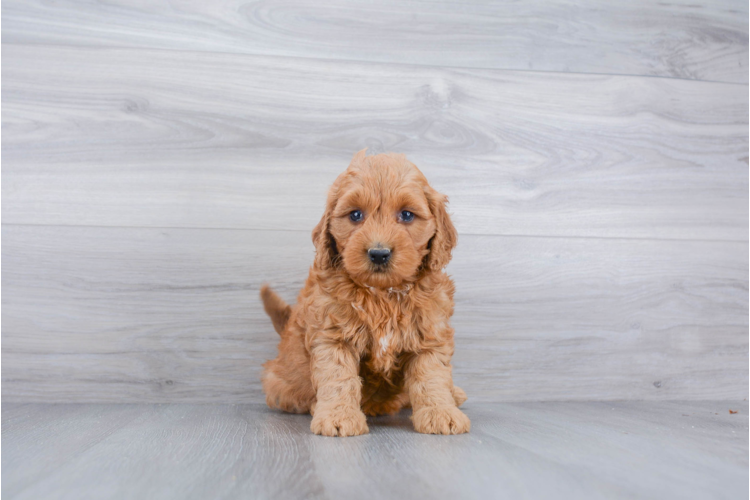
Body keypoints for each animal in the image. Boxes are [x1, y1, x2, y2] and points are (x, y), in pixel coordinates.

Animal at [260, 150, 470, 436]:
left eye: (407, 215)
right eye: (356, 215)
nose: (379, 253)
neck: (382, 294)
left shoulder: (430, 332)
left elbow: (432, 376)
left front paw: (440, 412)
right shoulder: (332, 335)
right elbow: (338, 377)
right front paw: (337, 416)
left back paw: (454, 394)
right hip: (282, 382)